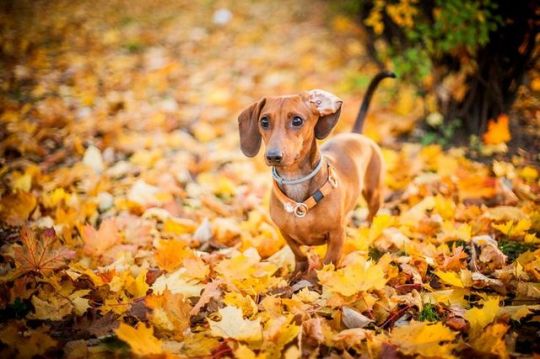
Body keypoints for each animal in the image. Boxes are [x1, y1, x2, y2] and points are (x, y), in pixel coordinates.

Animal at [238, 72, 394, 276]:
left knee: (371, 217)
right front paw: (297, 274)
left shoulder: (337, 235)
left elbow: (328, 263)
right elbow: (299, 255)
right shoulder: (285, 232)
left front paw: (316, 279)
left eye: (297, 120)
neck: (295, 181)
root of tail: (355, 135)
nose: (273, 156)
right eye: (264, 121)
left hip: (374, 193)